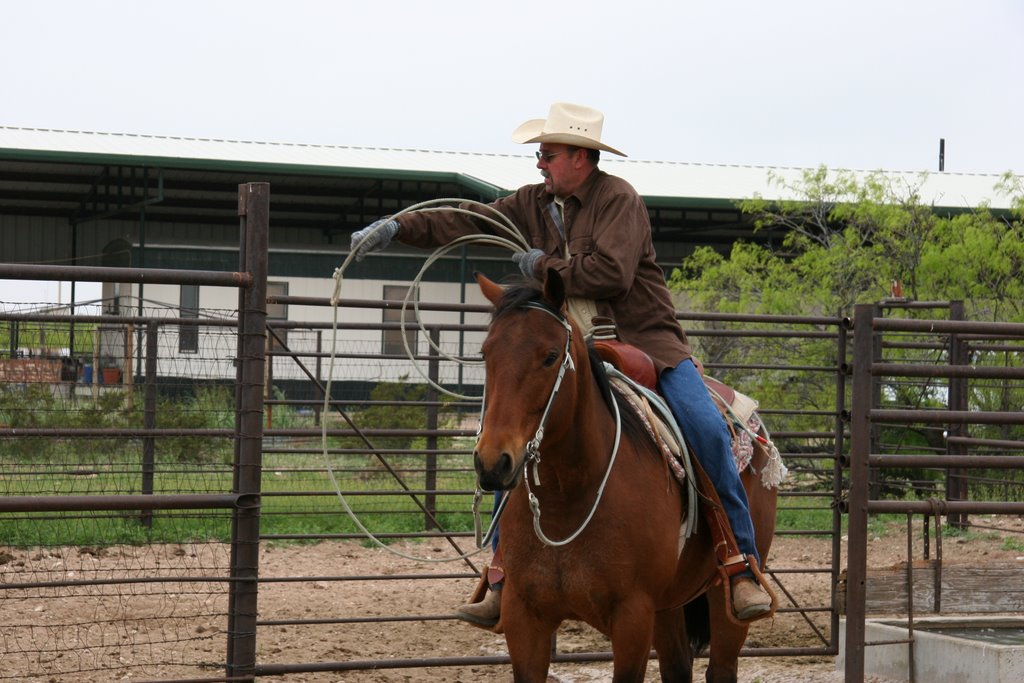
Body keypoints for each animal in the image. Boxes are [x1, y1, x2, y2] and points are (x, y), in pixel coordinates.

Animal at [471, 272, 774, 683]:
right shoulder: (523, 617)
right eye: (486, 354)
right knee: (678, 667)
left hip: (720, 599)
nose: (492, 462)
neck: (567, 497)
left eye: (550, 356)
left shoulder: (633, 617)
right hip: (668, 606)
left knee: (723, 664)